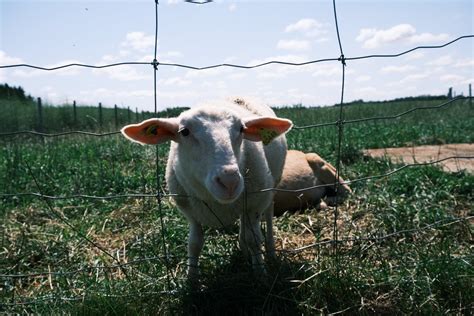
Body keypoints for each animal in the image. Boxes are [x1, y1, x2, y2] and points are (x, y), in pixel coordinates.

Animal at [121, 97, 292, 278]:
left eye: (241, 129)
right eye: (184, 132)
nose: (229, 181)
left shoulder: (255, 205)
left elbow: (254, 240)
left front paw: (260, 274)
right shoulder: (191, 212)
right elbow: (194, 243)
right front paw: (191, 279)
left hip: (271, 187)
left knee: (268, 215)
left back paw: (271, 252)